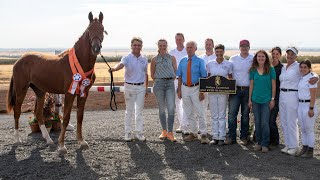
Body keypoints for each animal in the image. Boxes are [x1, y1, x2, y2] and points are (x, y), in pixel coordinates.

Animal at [6, 11, 106, 155]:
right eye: (88, 30)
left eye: (102, 29)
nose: (96, 48)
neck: (80, 62)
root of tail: (18, 61)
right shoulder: (69, 93)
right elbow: (66, 118)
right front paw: (62, 146)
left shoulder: (84, 93)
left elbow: (80, 116)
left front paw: (81, 142)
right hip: (21, 90)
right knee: (17, 111)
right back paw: (17, 140)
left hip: (40, 91)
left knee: (38, 113)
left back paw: (48, 140)